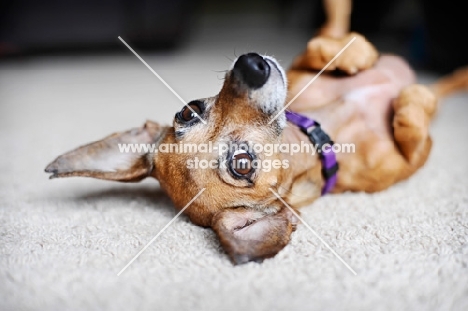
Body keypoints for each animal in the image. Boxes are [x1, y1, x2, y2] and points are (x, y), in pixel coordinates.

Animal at [44, 25, 468, 266]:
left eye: (187, 111)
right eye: (242, 165)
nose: (251, 64)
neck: (318, 133)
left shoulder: (299, 68)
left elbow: (318, 45)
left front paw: (354, 50)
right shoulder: (414, 158)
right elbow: (410, 122)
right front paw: (413, 97)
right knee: (441, 87)